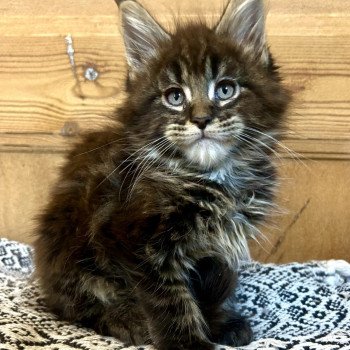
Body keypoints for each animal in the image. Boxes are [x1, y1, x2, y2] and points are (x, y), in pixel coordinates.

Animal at [33, 0, 290, 350]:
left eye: (225, 90)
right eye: (175, 97)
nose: (201, 120)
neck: (211, 178)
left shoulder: (217, 251)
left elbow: (209, 290)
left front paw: (219, 322)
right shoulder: (133, 240)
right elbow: (170, 300)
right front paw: (188, 343)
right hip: (71, 254)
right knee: (79, 306)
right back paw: (127, 320)